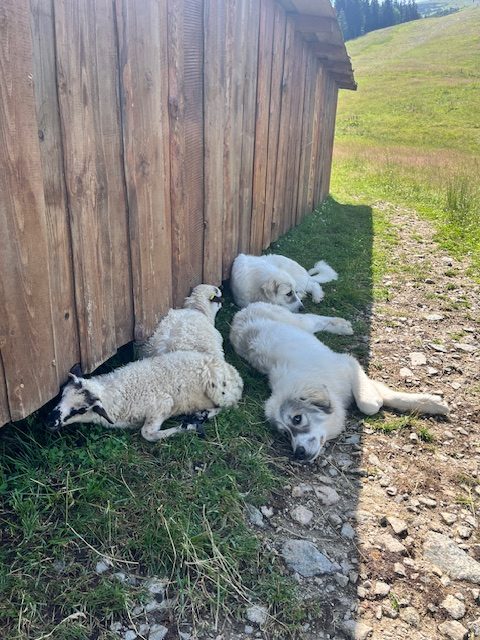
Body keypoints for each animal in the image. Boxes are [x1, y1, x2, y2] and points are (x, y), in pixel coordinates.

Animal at [45, 352, 244, 442]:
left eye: (81, 410)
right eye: (62, 394)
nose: (50, 421)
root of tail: (235, 373)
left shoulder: (164, 404)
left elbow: (147, 433)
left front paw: (187, 427)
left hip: (219, 390)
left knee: (229, 406)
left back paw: (202, 415)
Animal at [231, 302, 448, 462]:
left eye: (297, 419)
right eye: (285, 434)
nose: (298, 454)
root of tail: (242, 312)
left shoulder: (348, 364)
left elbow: (368, 404)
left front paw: (430, 403)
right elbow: (385, 396)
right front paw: (432, 403)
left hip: (297, 322)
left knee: (313, 318)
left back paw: (342, 326)